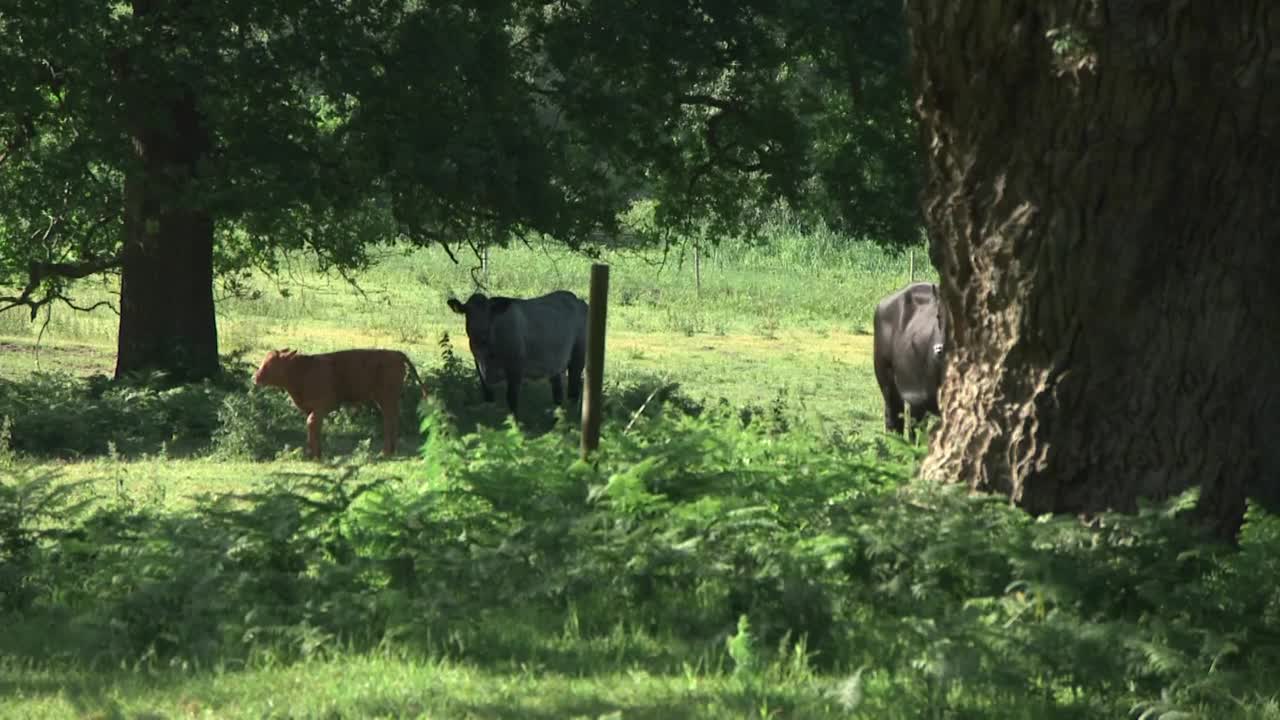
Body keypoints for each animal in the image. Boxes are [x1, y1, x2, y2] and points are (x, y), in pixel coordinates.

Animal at [252, 345, 432, 456]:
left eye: (272, 364)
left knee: (389, 420)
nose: (255, 377)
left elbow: (311, 424)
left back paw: (386, 452)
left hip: (386, 398)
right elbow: (313, 427)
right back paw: (391, 450)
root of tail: (395, 353)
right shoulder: (311, 408)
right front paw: (313, 453)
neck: (303, 371)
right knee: (392, 418)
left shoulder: (321, 406)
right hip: (386, 399)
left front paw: (316, 455)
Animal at [445, 288, 588, 417]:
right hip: (555, 364)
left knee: (574, 390)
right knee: (558, 392)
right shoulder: (479, 367)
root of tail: (579, 300)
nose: (480, 335)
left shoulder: (516, 368)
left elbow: (512, 399)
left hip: (578, 358)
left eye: (489, 313)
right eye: (468, 312)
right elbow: (488, 397)